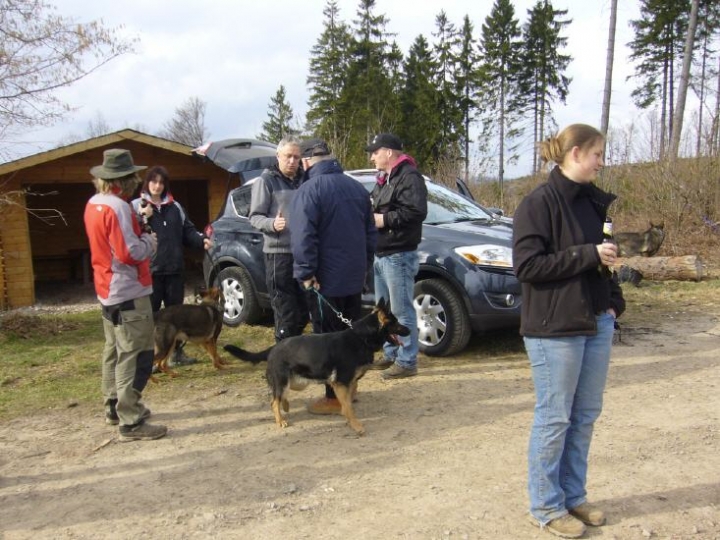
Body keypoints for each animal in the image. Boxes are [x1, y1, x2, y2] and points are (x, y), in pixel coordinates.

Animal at [222, 298, 408, 436]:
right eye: (396, 323)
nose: (410, 330)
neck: (361, 337)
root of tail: (274, 348)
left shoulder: (348, 383)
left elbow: (347, 403)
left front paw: (348, 419)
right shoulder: (341, 383)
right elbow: (348, 407)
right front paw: (356, 425)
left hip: (295, 382)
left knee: (280, 397)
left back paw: (286, 407)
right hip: (284, 381)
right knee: (274, 401)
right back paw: (280, 420)